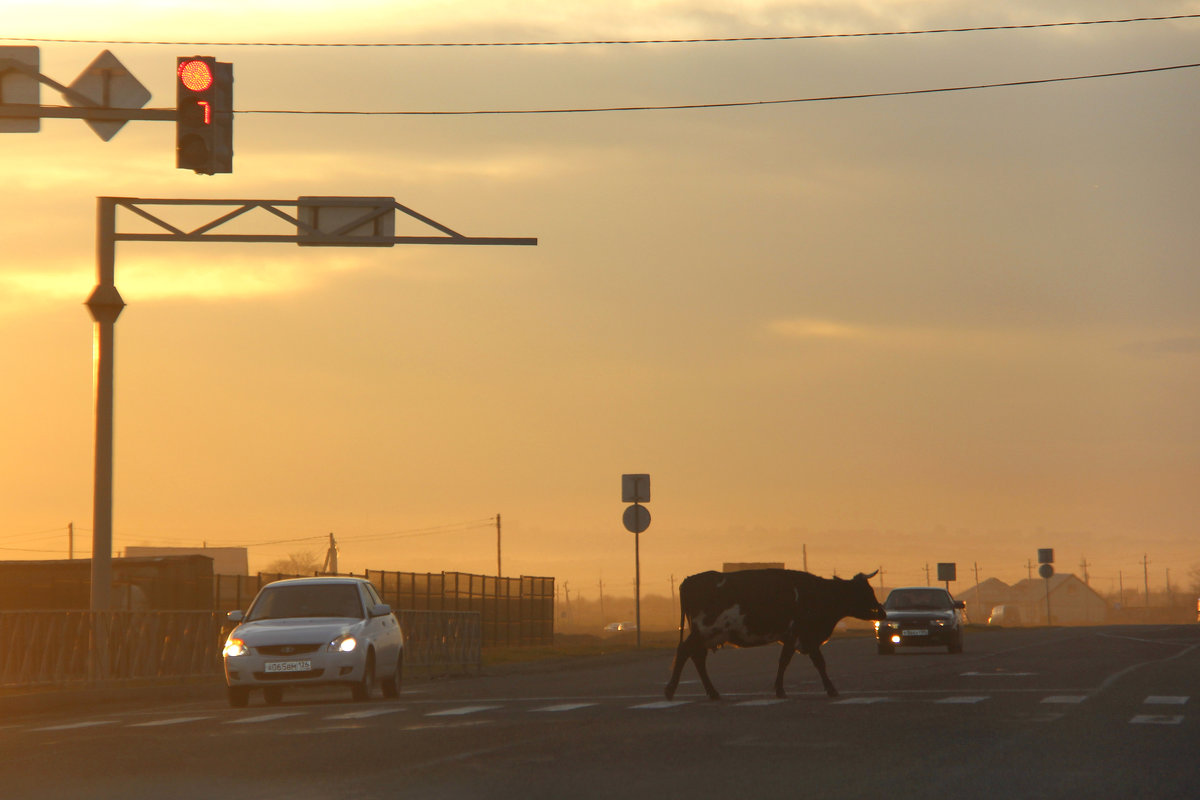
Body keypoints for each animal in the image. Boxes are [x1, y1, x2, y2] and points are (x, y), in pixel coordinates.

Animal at [662, 568, 888, 700]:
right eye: (866, 592)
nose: (882, 611)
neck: (817, 593)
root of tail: (689, 580)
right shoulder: (801, 633)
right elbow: (812, 662)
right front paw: (830, 689)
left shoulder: (795, 637)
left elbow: (789, 661)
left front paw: (780, 688)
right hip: (704, 630)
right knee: (685, 652)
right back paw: (671, 690)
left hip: (707, 634)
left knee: (696, 657)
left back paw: (712, 692)